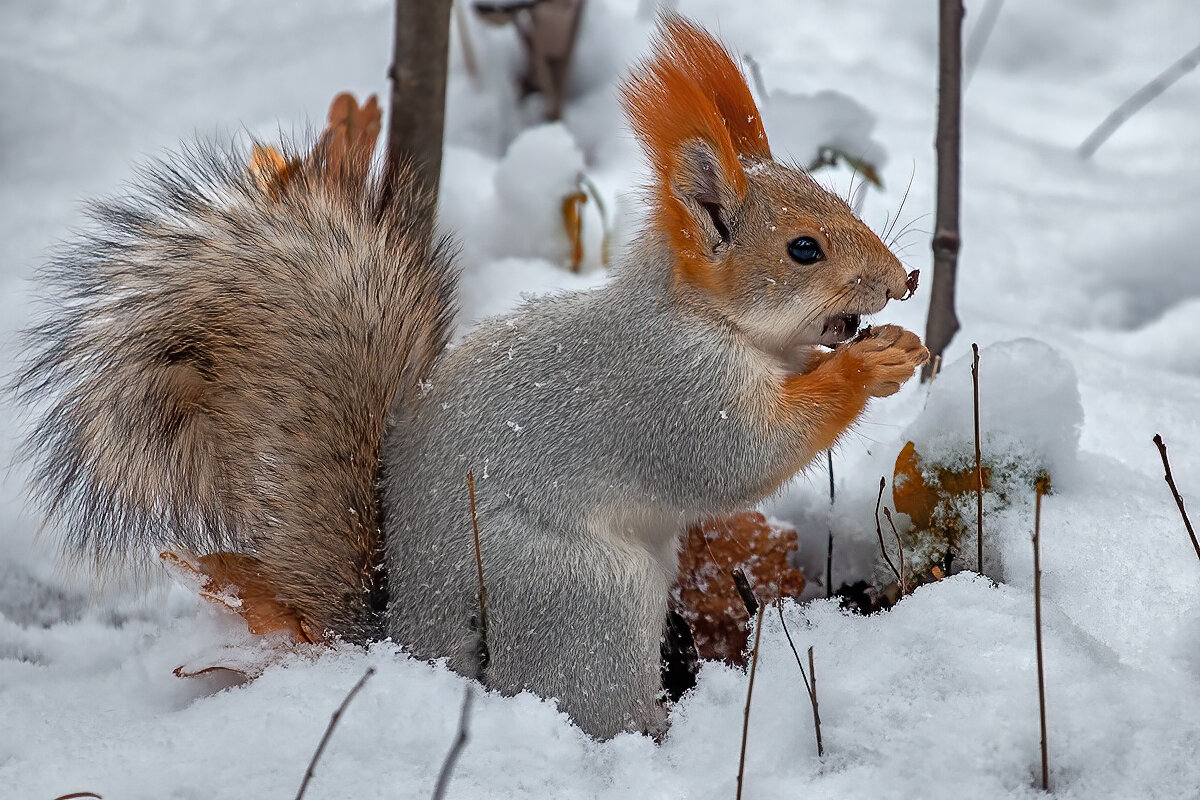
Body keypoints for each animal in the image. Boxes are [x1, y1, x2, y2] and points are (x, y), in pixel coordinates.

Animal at [14, 17, 926, 743]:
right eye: (803, 249)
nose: (902, 280)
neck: (705, 318)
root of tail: (411, 641)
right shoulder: (667, 389)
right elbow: (737, 458)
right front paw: (865, 365)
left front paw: (895, 345)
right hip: (578, 594)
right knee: (581, 694)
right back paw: (655, 733)